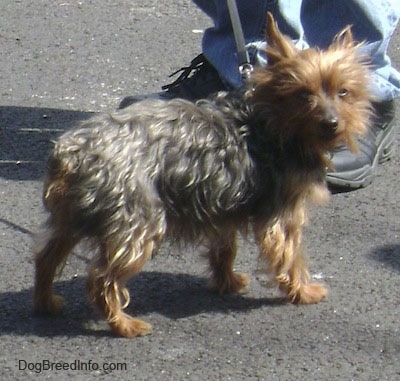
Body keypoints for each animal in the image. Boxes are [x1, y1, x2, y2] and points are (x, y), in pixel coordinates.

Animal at [32, 13, 374, 336]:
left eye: (344, 92)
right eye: (303, 94)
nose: (331, 123)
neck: (270, 123)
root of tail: (72, 152)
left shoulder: (222, 208)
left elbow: (225, 248)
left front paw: (228, 281)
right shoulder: (282, 213)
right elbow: (290, 255)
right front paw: (303, 291)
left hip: (73, 217)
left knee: (46, 256)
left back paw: (47, 302)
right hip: (137, 220)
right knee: (102, 278)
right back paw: (124, 325)